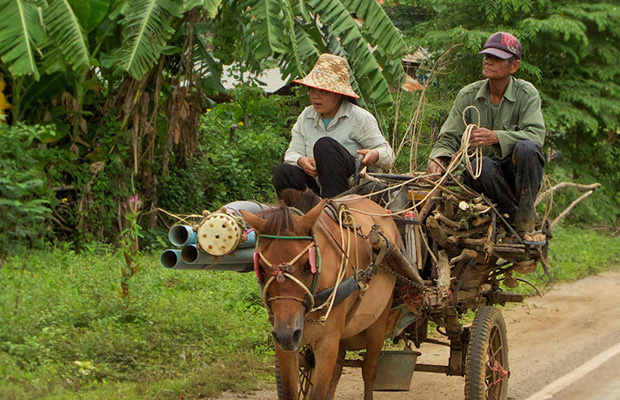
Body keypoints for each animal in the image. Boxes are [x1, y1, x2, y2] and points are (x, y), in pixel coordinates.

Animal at [240, 191, 404, 400]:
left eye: (306, 265)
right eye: (260, 266)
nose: (287, 333)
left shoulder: (327, 343)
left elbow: (319, 392)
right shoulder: (284, 345)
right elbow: (291, 391)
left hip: (377, 322)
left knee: (369, 370)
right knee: (338, 370)